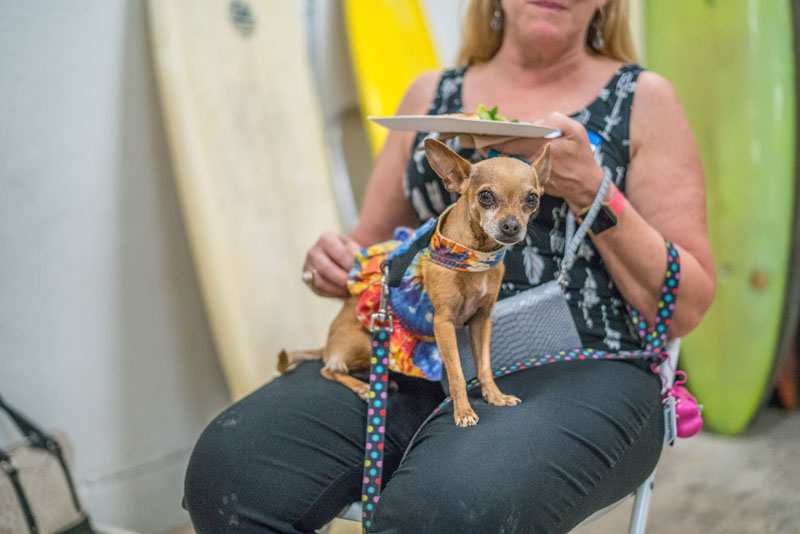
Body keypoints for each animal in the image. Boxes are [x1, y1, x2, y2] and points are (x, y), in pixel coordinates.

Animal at [276, 140, 552, 430]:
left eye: (532, 199)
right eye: (486, 196)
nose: (511, 226)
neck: (473, 256)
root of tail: (328, 345)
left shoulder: (481, 321)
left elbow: (484, 365)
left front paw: (495, 396)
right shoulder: (443, 324)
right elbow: (456, 373)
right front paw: (463, 412)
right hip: (364, 343)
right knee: (329, 369)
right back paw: (363, 387)